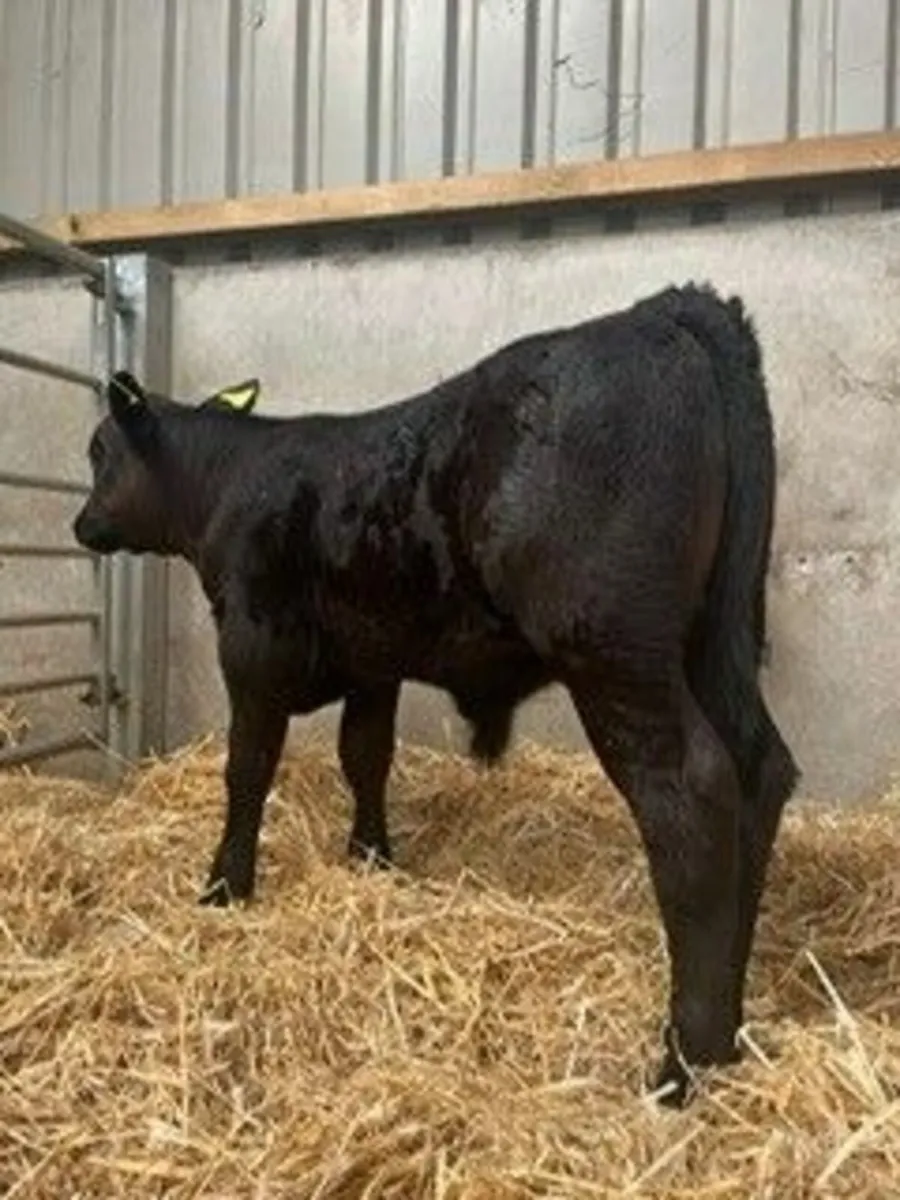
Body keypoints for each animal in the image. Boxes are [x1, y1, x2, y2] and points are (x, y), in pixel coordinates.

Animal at [72, 282, 799, 1105]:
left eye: (101, 453)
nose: (81, 523)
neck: (230, 480)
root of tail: (663, 311)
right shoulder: (373, 663)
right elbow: (366, 758)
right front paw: (371, 859)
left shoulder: (253, 650)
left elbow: (248, 768)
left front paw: (226, 885)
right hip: (717, 636)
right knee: (759, 768)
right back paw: (731, 1024)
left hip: (616, 650)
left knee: (691, 791)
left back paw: (685, 1059)